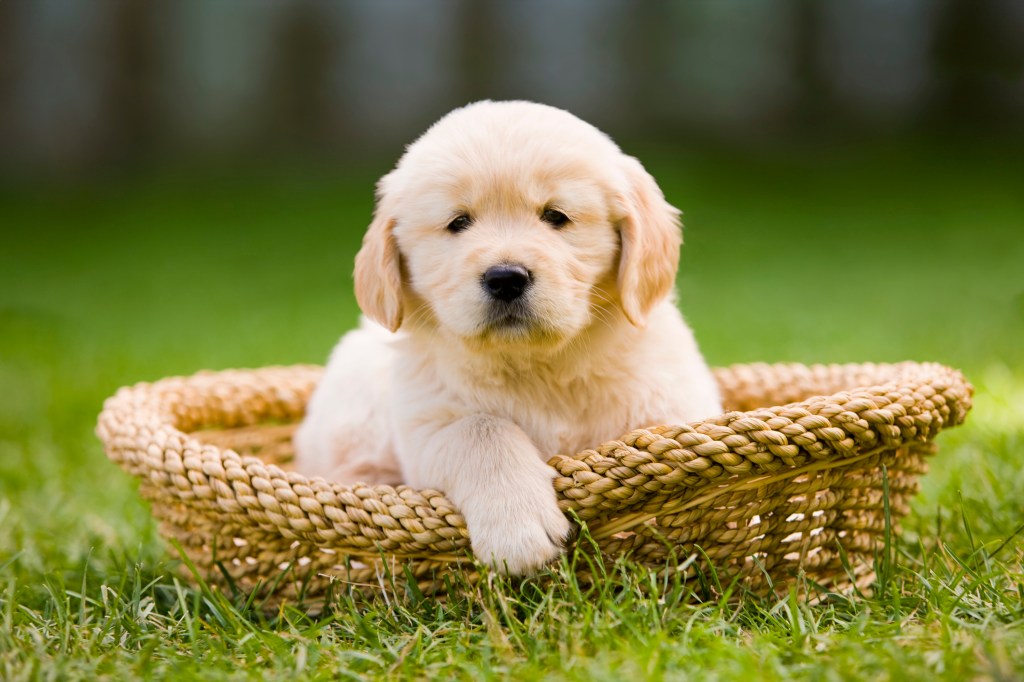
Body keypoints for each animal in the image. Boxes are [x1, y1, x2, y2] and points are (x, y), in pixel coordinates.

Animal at [292, 98, 724, 569]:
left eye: (556, 216)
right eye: (458, 222)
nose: (505, 278)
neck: (539, 365)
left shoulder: (673, 401)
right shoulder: (425, 425)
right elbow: (480, 429)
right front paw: (518, 530)